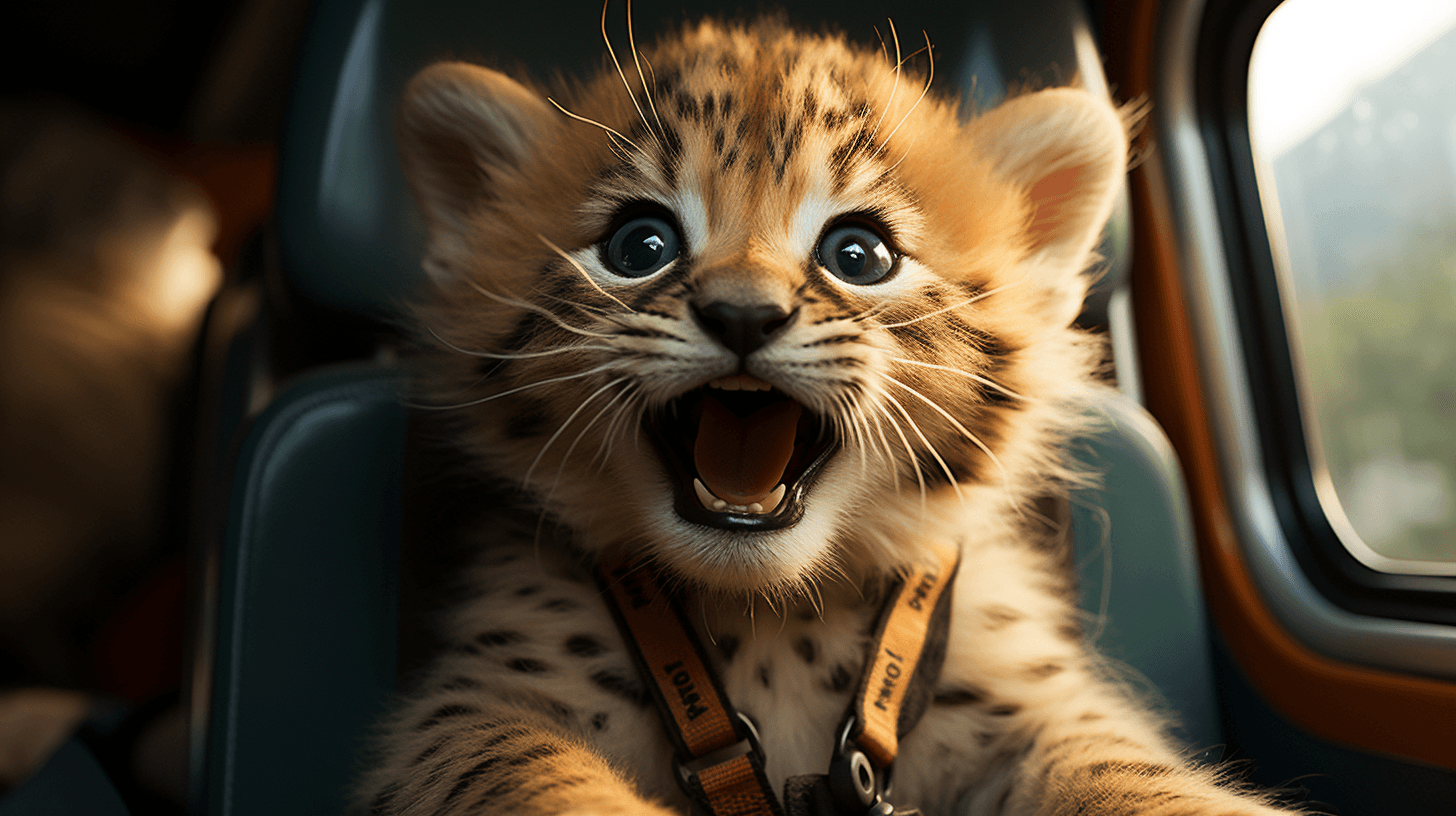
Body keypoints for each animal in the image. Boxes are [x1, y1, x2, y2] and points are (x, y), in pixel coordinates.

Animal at [358, 13, 1302, 816]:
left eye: (859, 255)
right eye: (640, 245)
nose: (743, 314)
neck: (772, 617)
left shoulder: (1038, 697)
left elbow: (1125, 771)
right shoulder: (477, 701)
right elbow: (523, 770)